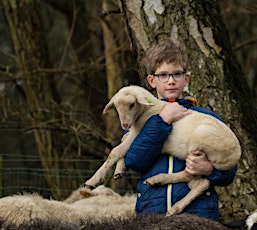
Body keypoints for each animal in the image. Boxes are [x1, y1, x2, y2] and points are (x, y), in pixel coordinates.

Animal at [83, 85, 240, 217]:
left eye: (132, 104)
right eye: (116, 106)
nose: (125, 124)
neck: (150, 110)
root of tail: (235, 156)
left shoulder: (138, 133)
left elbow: (116, 150)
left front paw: (92, 181)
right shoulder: (135, 134)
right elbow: (123, 143)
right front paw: (119, 170)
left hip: (199, 145)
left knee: (194, 178)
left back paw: (164, 190)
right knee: (199, 182)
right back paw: (162, 187)